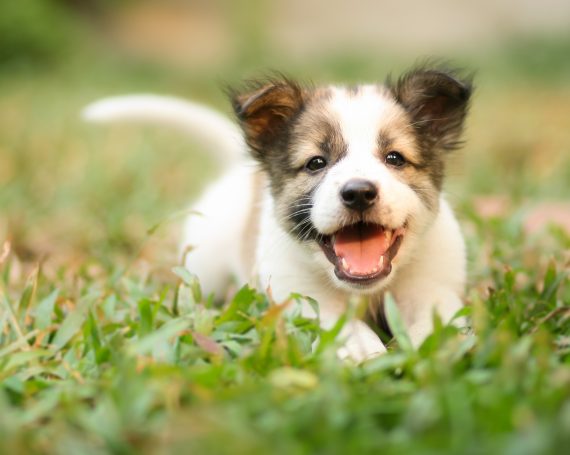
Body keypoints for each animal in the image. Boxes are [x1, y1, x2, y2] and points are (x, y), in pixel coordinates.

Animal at [83, 66, 470, 362]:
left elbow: (435, 324)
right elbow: (343, 327)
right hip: (204, 272)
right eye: (316, 163)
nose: (358, 192)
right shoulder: (301, 296)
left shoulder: (433, 289)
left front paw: (432, 351)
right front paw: (362, 351)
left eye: (394, 158)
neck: (367, 291)